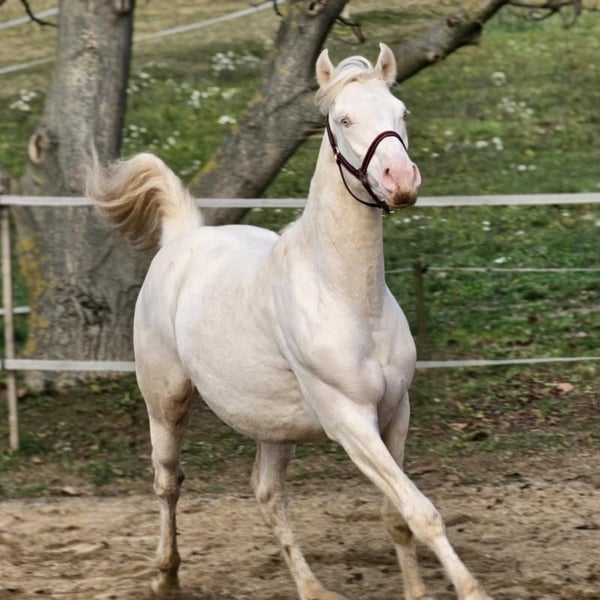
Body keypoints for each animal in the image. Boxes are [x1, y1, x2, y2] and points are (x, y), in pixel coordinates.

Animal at [87, 43, 493, 600]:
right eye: (343, 119)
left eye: (401, 112)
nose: (401, 181)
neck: (348, 298)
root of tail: (182, 239)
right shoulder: (350, 421)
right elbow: (420, 512)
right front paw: (472, 589)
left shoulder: (396, 412)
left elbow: (396, 518)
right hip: (166, 402)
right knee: (168, 483)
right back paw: (165, 577)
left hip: (273, 427)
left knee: (267, 494)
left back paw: (313, 588)